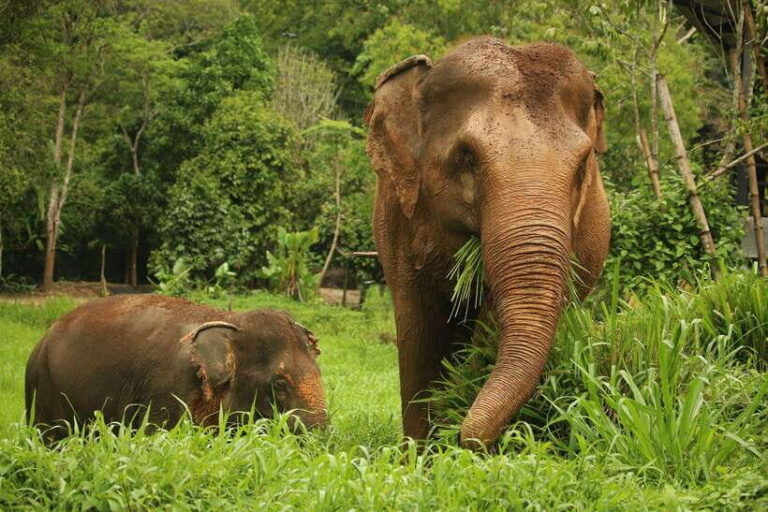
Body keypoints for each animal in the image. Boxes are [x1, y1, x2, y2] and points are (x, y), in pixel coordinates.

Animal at [365, 37, 610, 449]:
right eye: (467, 157)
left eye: (581, 165)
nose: (467, 438)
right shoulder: (400, 218)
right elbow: (417, 327)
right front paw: (418, 453)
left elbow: (489, 326)